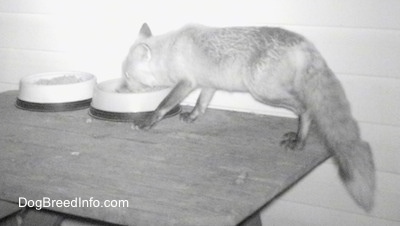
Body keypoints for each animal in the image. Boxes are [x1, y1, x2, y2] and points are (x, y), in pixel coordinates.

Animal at [121, 23, 376, 212]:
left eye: (127, 75)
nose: (123, 88)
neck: (169, 52)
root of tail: (303, 42)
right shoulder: (208, 83)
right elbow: (201, 104)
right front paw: (192, 117)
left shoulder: (186, 82)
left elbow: (163, 105)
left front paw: (147, 121)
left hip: (262, 92)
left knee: (306, 108)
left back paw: (299, 141)